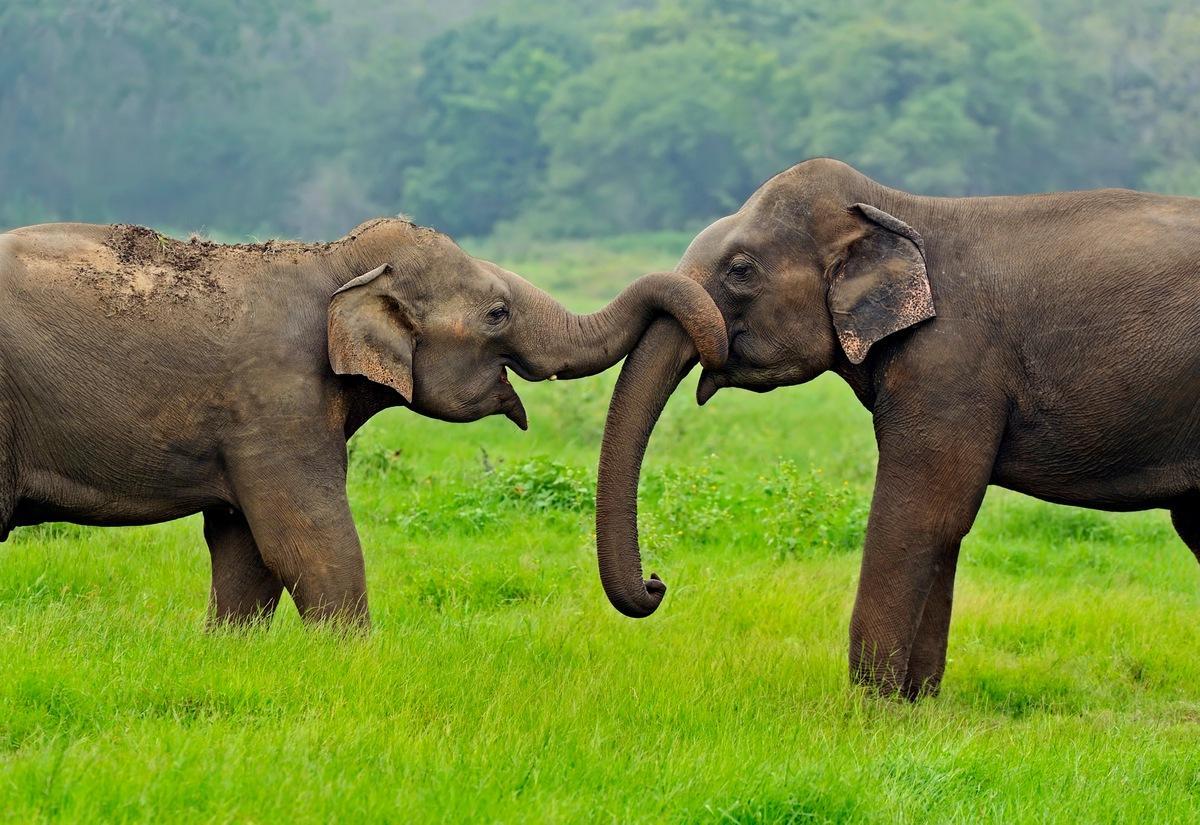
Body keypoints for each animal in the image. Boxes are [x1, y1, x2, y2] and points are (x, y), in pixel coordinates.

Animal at [0, 217, 724, 623]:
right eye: (496, 314)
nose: (658, 581)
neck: (338, 260)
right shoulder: (275, 398)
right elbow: (309, 543)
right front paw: (354, 663)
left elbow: (245, 551)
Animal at [590, 158, 1200, 700]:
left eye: (740, 270)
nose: (658, 583)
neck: (896, 209)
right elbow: (943, 529)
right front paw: (915, 707)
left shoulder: (951, 366)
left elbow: (923, 515)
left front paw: (870, 711)